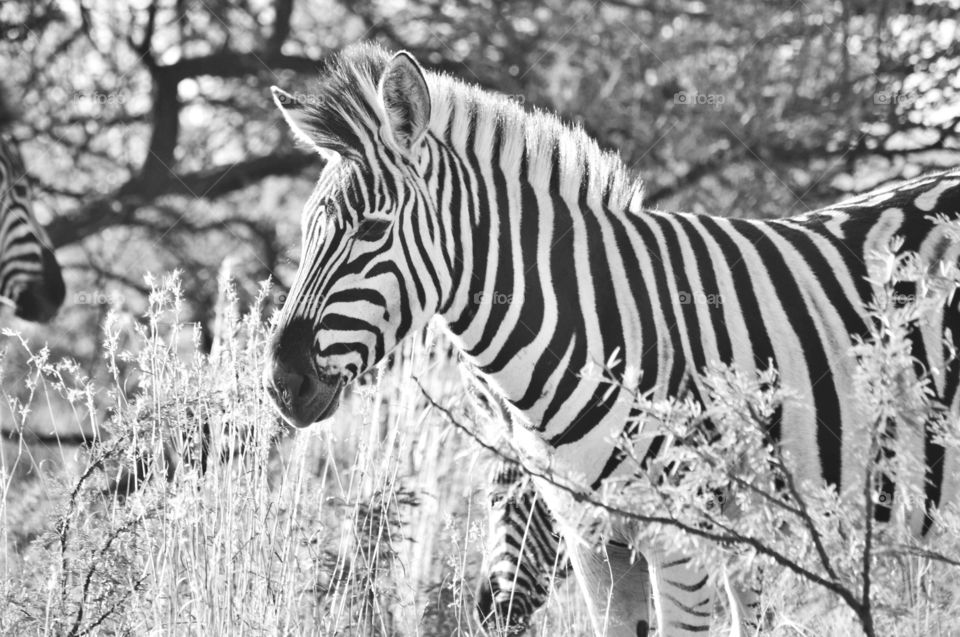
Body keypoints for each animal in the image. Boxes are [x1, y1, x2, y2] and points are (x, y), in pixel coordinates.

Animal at [262, 43, 960, 636]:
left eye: (372, 232)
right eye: (307, 231)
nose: (280, 383)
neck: (593, 328)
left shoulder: (685, 541)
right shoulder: (595, 539)